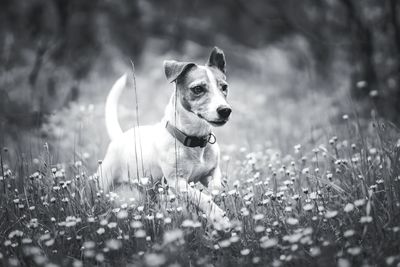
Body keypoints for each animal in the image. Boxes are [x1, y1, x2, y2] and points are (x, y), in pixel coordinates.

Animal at [97, 47, 233, 227]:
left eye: (224, 87)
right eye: (198, 89)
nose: (225, 110)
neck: (194, 140)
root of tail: (120, 137)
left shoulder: (212, 171)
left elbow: (215, 187)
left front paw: (214, 198)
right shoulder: (177, 182)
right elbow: (201, 198)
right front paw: (219, 217)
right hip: (104, 182)